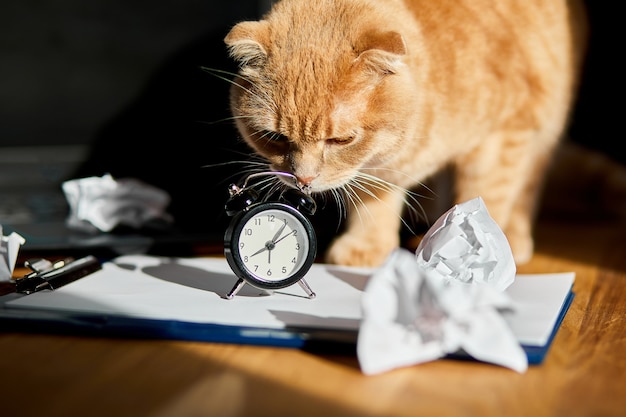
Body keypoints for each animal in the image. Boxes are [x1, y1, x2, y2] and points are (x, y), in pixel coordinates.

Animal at [223, 0, 584, 266]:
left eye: (340, 140)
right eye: (275, 137)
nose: (303, 179)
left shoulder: (504, 134)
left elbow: (487, 194)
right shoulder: (376, 169)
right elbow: (374, 201)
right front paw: (367, 245)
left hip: (547, 123)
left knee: (528, 185)